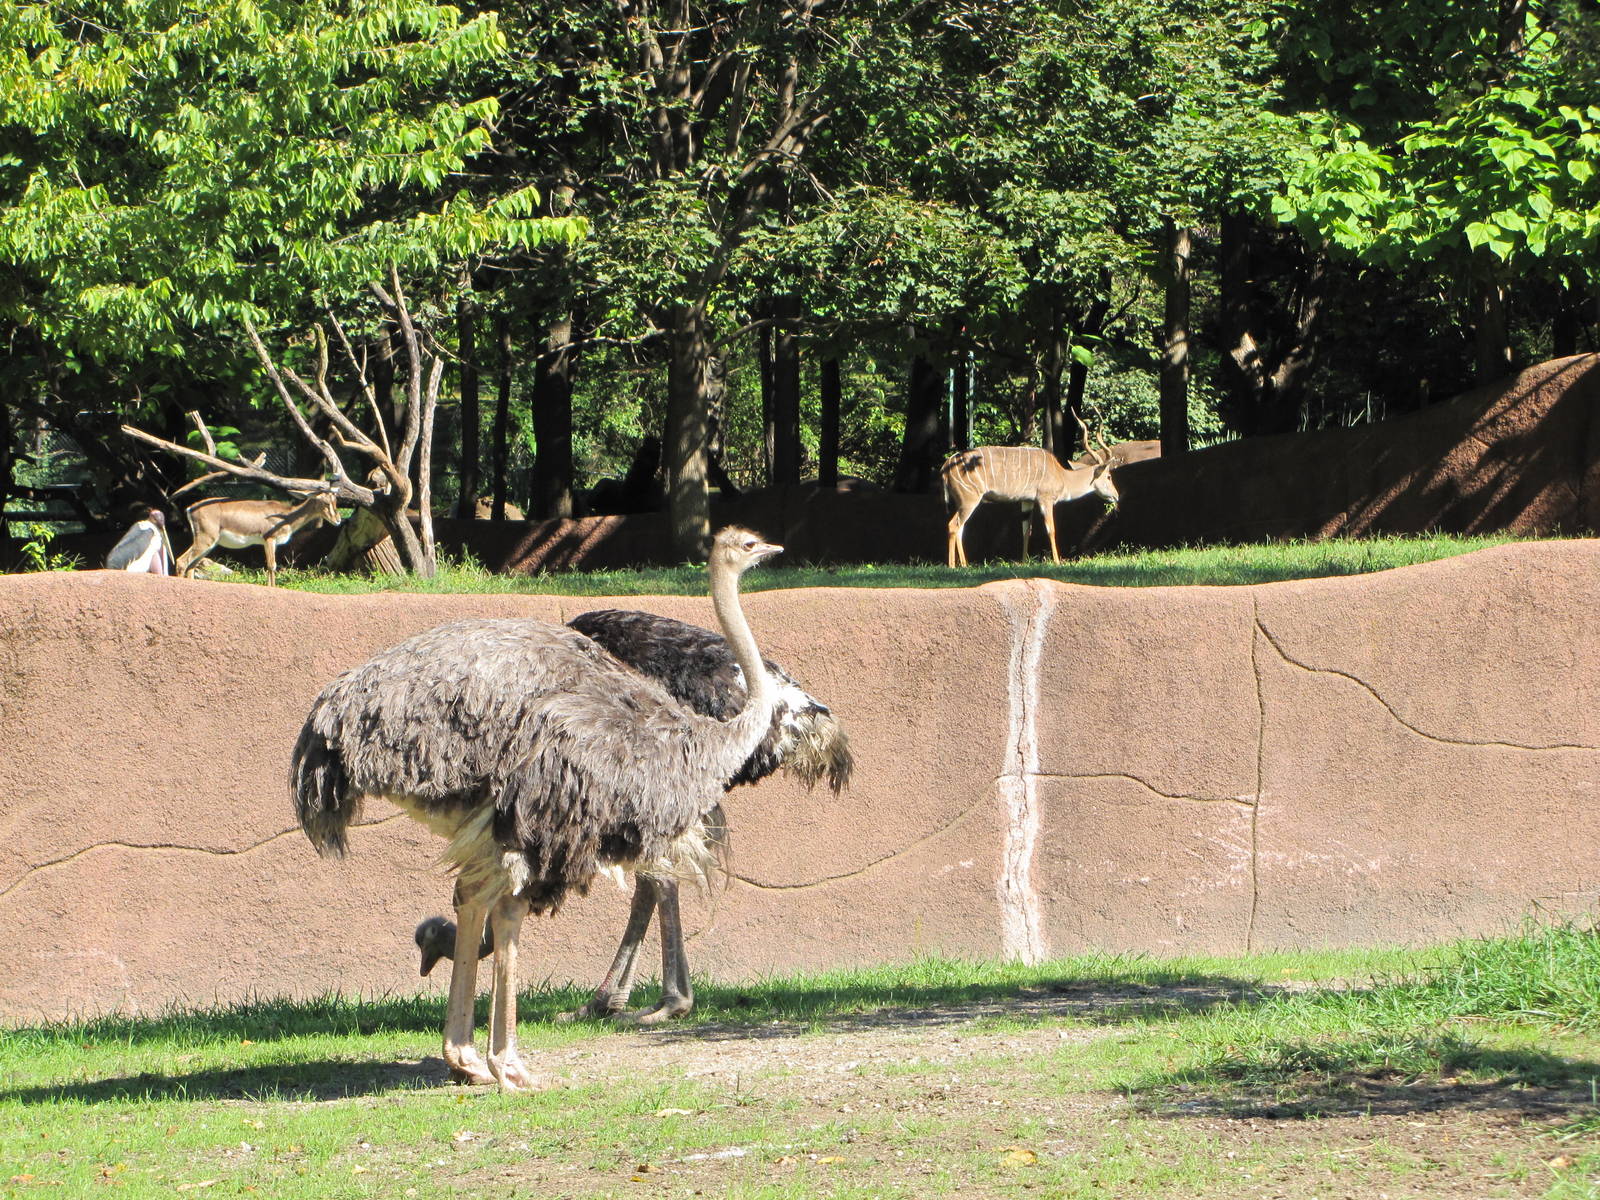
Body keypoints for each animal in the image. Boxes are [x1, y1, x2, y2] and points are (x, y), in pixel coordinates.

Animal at [176, 491, 342, 586]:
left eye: (335, 501)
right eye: (325, 502)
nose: (338, 520)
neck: (286, 516)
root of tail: (190, 508)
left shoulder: (267, 542)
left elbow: (269, 566)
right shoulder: (269, 539)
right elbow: (272, 565)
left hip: (208, 544)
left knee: (191, 566)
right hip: (205, 540)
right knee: (182, 561)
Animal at [941, 415, 1119, 567]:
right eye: (1109, 476)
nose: (1116, 496)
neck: (1062, 476)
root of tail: (945, 467)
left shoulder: (1027, 501)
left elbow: (1027, 530)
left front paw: (1024, 561)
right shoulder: (1045, 499)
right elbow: (1051, 529)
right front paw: (1057, 561)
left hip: (964, 502)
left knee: (960, 527)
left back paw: (964, 565)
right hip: (969, 500)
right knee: (953, 525)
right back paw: (953, 566)